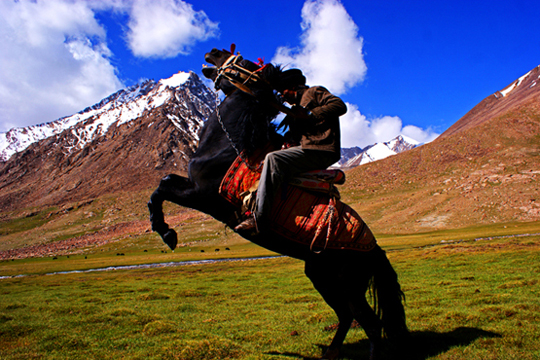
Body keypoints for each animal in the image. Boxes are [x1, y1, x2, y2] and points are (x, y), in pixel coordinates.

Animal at [146, 47, 408, 360]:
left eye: (245, 62)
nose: (213, 52)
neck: (231, 143)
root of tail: (373, 247)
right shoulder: (193, 186)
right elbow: (163, 183)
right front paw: (165, 230)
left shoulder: (201, 194)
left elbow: (162, 187)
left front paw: (167, 233)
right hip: (321, 277)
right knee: (347, 316)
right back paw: (329, 353)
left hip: (348, 286)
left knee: (370, 323)